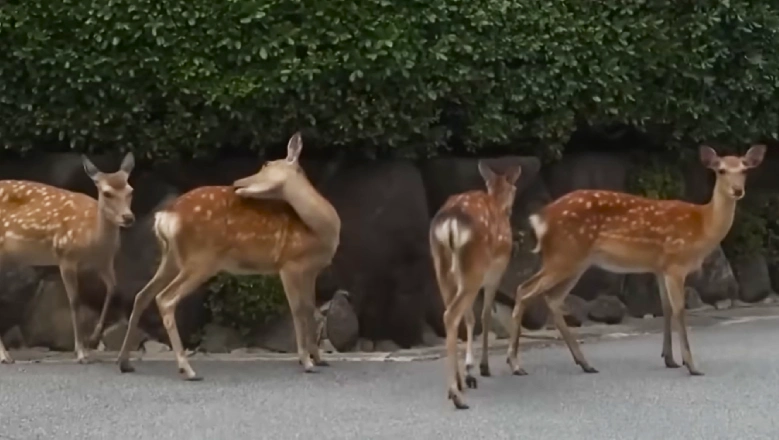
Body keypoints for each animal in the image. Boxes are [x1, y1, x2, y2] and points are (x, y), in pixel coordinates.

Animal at [0, 153, 136, 364]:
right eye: (107, 193)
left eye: (130, 190)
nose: (128, 217)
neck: (93, 239)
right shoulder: (65, 256)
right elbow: (74, 301)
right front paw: (80, 352)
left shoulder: (104, 262)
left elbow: (113, 289)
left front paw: (94, 338)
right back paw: (5, 356)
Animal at [116, 132, 341, 380]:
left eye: (266, 163)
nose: (236, 183)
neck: (321, 230)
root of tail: (164, 217)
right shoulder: (289, 264)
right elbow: (298, 310)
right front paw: (306, 362)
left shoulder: (311, 270)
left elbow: (310, 309)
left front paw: (319, 359)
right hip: (201, 259)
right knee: (165, 298)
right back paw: (188, 369)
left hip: (172, 257)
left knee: (142, 295)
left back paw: (125, 362)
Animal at [429, 160, 522, 410]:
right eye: (515, 188)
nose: (511, 210)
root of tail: (450, 224)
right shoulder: (495, 274)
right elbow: (485, 316)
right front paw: (483, 367)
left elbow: (471, 318)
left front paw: (470, 370)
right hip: (474, 268)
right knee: (451, 315)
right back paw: (456, 394)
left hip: (444, 269)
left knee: (451, 314)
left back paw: (459, 384)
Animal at [506, 144, 766, 379]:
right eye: (721, 170)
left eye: (744, 169)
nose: (737, 190)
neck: (702, 226)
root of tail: (541, 218)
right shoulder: (676, 264)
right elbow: (680, 310)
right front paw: (691, 365)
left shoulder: (660, 268)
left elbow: (665, 308)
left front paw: (669, 359)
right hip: (564, 255)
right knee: (524, 289)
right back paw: (516, 364)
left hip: (575, 261)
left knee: (552, 299)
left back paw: (584, 363)